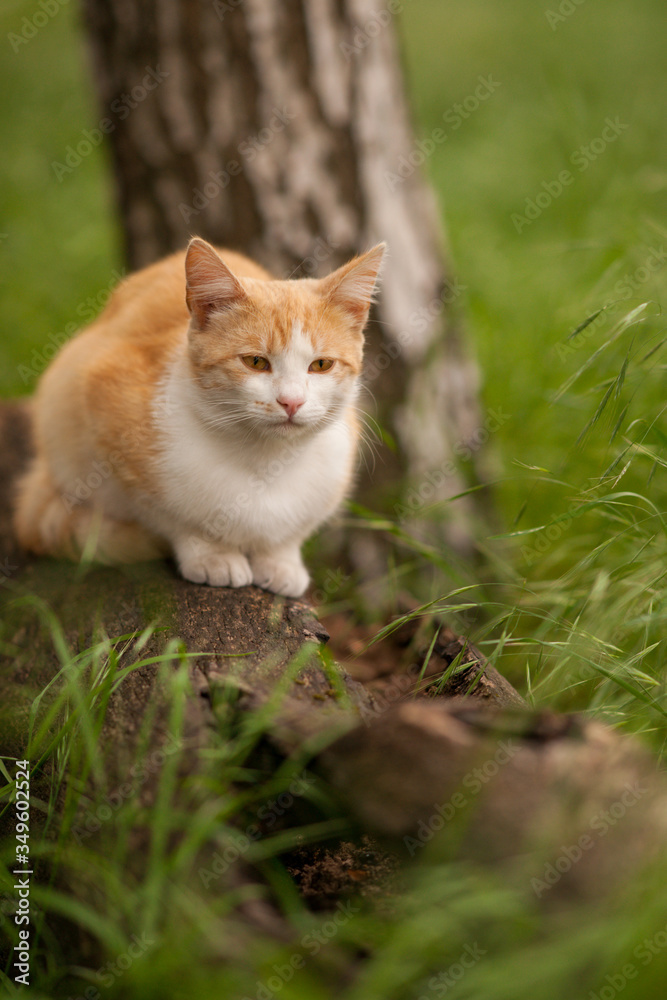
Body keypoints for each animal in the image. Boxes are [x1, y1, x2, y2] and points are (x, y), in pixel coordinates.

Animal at [13, 236, 384, 592]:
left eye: (321, 365)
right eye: (255, 362)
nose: (291, 402)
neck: (266, 461)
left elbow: (288, 534)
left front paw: (280, 561)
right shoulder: (107, 407)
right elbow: (171, 515)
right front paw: (212, 554)